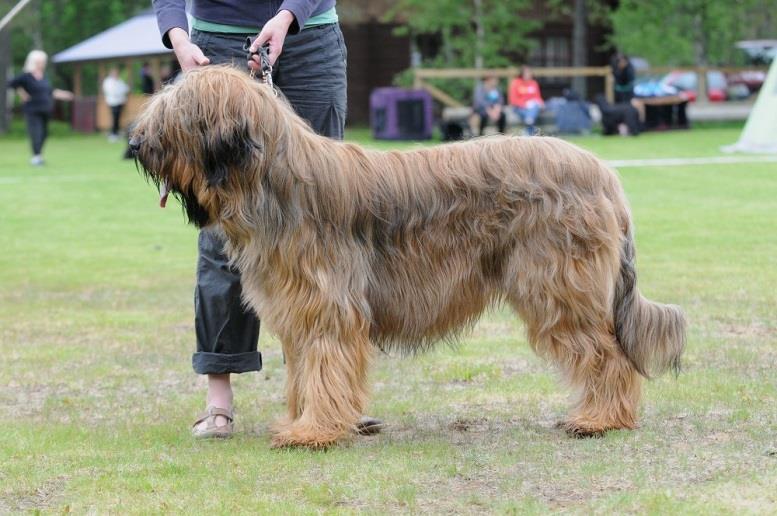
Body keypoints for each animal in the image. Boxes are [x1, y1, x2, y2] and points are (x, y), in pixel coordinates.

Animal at [132, 66, 684, 448]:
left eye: (175, 114)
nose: (136, 144)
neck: (270, 181)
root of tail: (604, 174)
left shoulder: (328, 306)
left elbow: (324, 365)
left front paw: (313, 432)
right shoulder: (297, 310)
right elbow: (304, 372)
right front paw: (300, 421)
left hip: (557, 286)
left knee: (607, 354)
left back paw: (601, 419)